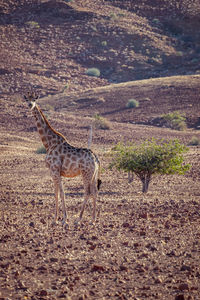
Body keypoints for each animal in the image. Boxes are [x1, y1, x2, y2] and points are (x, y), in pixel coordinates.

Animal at [23, 91, 101, 227]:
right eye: (27, 99)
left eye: (35, 99)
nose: (30, 105)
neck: (49, 143)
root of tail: (96, 159)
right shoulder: (56, 171)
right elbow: (59, 193)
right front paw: (59, 218)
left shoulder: (54, 169)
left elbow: (59, 193)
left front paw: (61, 219)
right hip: (93, 174)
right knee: (95, 191)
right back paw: (92, 219)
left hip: (86, 173)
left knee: (87, 192)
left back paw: (78, 219)